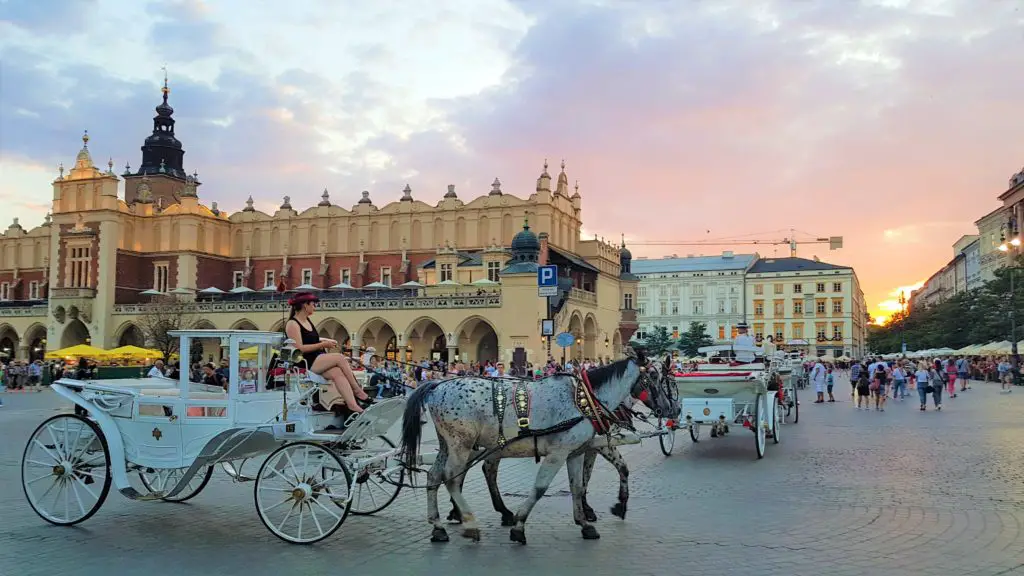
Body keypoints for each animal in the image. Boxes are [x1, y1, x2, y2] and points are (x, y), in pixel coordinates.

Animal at [397, 356, 638, 541]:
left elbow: (579, 485)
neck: (583, 400)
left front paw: (587, 520)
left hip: (449, 444)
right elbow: (541, 488)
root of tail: (436, 387)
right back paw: (470, 521)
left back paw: (440, 525)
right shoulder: (560, 452)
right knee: (453, 477)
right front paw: (519, 526)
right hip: (462, 444)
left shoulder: (577, 451)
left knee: (435, 476)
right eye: (648, 377)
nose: (627, 418)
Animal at [446, 354, 679, 528]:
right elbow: (612, 470)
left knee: (479, 469)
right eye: (658, 378)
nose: (673, 409)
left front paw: (589, 508)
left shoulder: (589, 446)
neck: (591, 399)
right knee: (474, 469)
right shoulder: (599, 445)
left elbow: (588, 476)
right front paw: (609, 507)